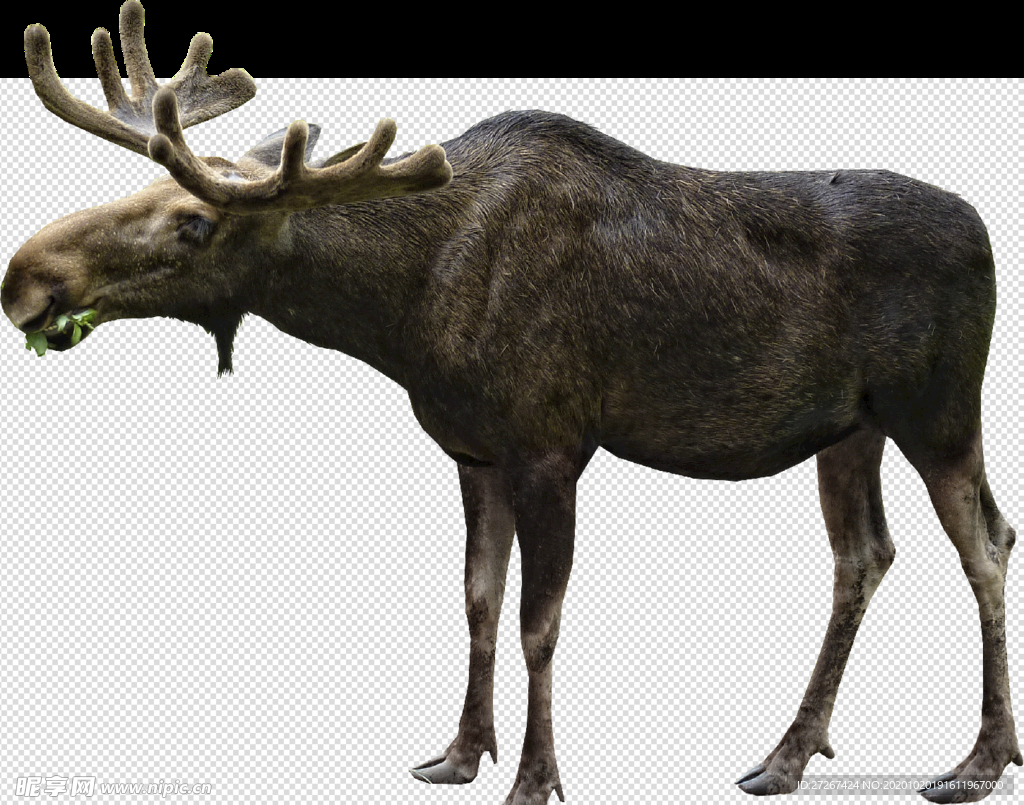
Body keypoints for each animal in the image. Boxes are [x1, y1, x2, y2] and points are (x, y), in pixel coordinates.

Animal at [3, 5, 1020, 805]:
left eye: (195, 221)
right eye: (143, 183)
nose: (25, 280)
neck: (401, 310)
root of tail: (986, 234)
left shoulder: (550, 446)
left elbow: (540, 620)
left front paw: (535, 777)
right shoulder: (474, 451)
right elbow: (477, 599)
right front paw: (458, 753)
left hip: (938, 408)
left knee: (985, 541)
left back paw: (978, 761)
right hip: (849, 427)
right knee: (866, 554)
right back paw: (786, 756)